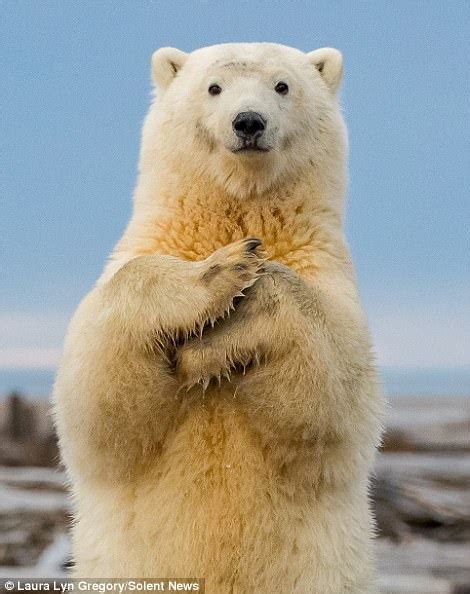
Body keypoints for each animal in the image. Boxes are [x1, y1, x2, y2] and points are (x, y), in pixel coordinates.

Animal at [53, 42, 384, 592]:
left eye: (282, 85)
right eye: (214, 87)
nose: (248, 122)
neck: (235, 205)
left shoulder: (328, 274)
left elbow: (335, 397)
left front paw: (216, 340)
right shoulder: (141, 252)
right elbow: (97, 405)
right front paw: (214, 277)